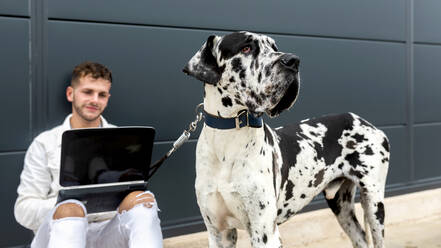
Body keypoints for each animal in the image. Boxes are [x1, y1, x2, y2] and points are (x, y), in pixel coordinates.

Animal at [182, 32, 388, 248]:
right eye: (246, 48)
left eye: (274, 47)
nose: (293, 61)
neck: (228, 140)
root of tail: (364, 121)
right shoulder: (218, 232)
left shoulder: (264, 233)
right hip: (342, 206)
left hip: (374, 203)